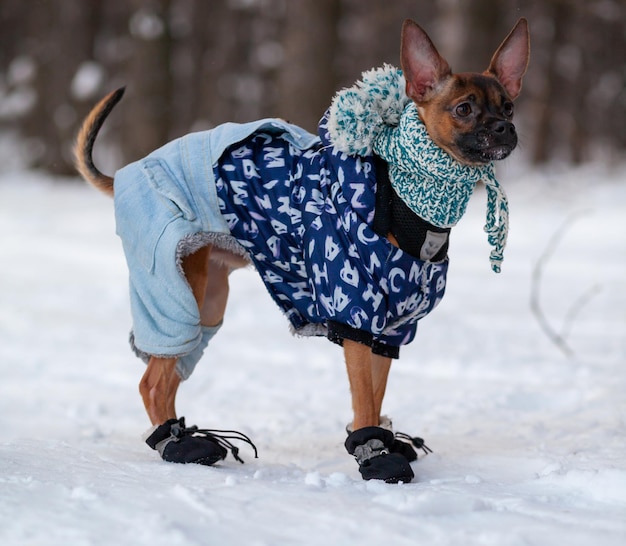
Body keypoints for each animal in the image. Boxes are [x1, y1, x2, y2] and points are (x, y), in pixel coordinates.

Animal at [75, 19, 528, 482]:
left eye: (509, 107)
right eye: (464, 109)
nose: (504, 128)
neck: (407, 198)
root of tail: (128, 171)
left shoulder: (390, 329)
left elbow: (377, 393)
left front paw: (383, 437)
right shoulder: (355, 316)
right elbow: (364, 399)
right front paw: (375, 452)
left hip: (209, 301)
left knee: (167, 375)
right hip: (177, 294)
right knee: (152, 381)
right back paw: (177, 444)